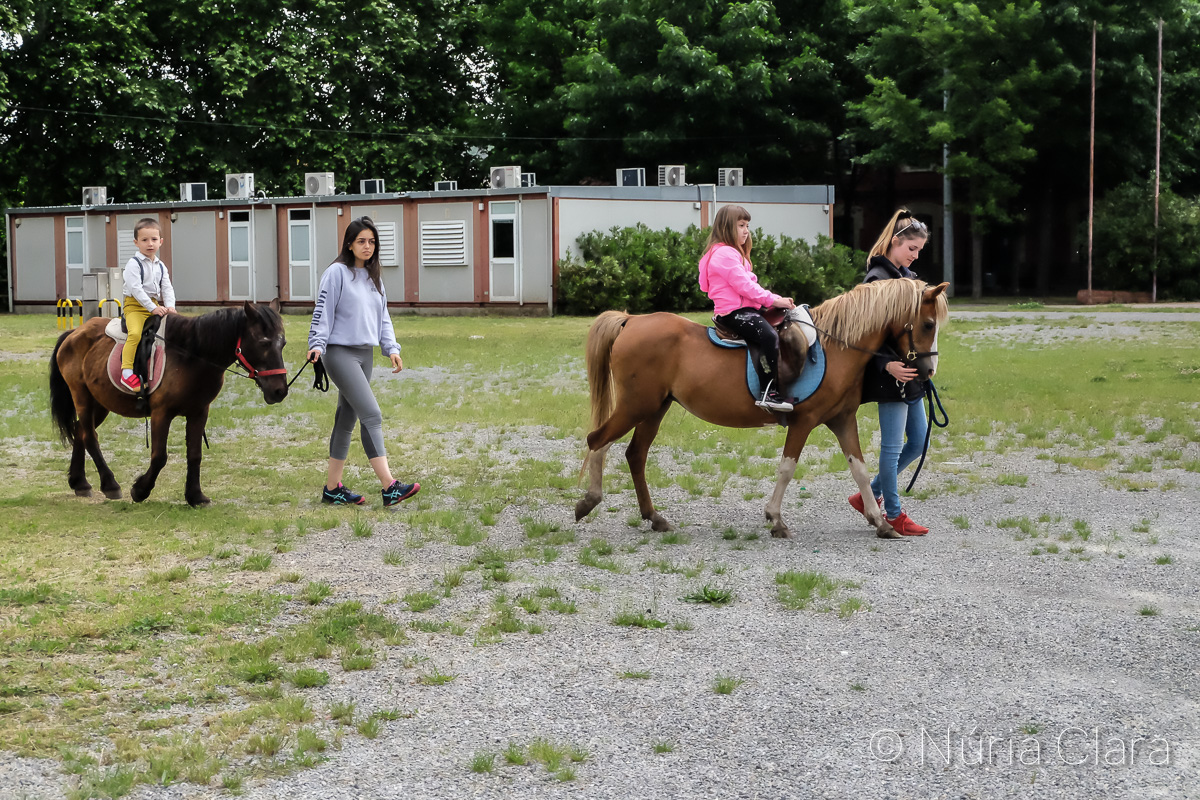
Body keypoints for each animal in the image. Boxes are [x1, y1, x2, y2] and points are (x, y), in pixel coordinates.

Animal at [48, 300, 290, 506]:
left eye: (283, 343)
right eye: (263, 342)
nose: (279, 391)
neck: (191, 354)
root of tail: (74, 333)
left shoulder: (199, 412)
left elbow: (194, 454)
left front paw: (195, 496)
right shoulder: (161, 413)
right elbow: (159, 456)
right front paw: (140, 490)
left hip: (100, 403)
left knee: (80, 431)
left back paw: (80, 483)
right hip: (82, 397)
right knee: (89, 436)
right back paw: (110, 484)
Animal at [575, 278, 950, 539]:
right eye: (928, 324)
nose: (929, 371)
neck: (835, 346)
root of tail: (631, 321)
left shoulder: (842, 420)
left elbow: (858, 468)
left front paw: (880, 522)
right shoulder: (804, 422)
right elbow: (787, 468)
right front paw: (776, 519)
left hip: (654, 408)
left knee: (635, 454)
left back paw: (654, 517)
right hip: (636, 405)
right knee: (598, 440)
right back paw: (588, 501)